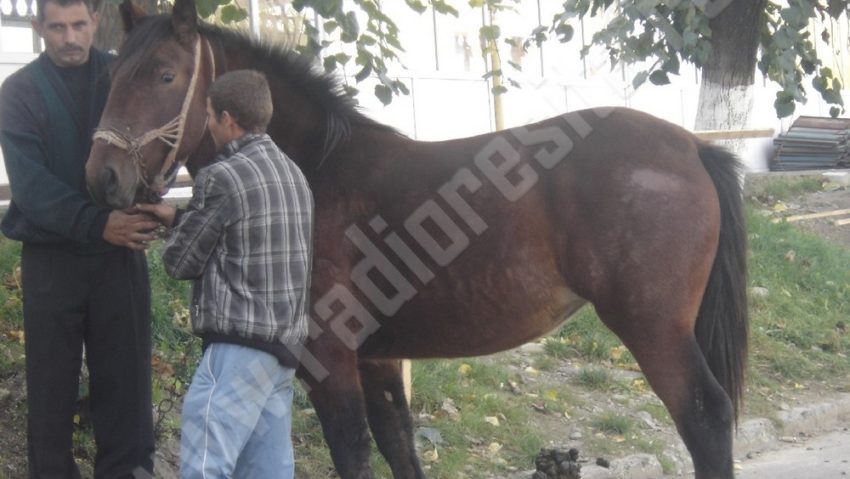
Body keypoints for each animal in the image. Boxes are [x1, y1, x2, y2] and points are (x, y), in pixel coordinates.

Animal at [86, 0, 744, 479]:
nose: (103, 177)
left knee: (706, 419)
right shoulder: (378, 360)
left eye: (166, 75)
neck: (313, 170)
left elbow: (352, 451)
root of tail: (691, 147)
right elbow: (399, 446)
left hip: (653, 328)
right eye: (112, 76)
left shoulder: (329, 362)